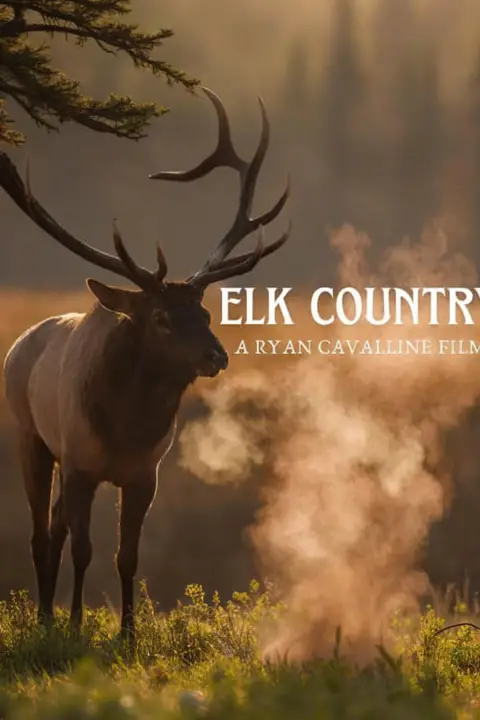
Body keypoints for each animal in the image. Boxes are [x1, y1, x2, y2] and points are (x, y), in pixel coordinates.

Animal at [0, 88, 290, 641]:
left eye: (205, 312)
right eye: (159, 317)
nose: (217, 355)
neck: (125, 429)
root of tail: (22, 341)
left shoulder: (145, 474)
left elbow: (126, 556)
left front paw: (128, 632)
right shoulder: (80, 464)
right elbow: (85, 550)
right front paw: (75, 625)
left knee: (53, 527)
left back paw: (48, 613)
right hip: (30, 436)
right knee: (41, 533)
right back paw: (46, 619)